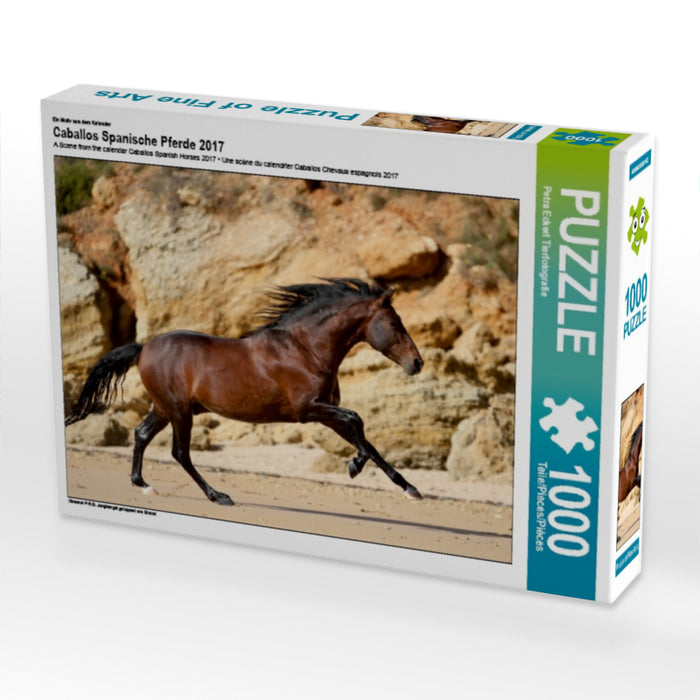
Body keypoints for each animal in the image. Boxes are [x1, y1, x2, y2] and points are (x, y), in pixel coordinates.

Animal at [65, 278, 425, 506]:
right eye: (395, 324)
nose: (417, 362)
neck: (305, 349)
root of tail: (143, 347)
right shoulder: (309, 409)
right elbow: (358, 421)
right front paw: (354, 466)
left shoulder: (325, 413)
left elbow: (367, 440)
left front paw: (410, 489)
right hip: (179, 411)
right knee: (180, 453)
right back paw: (218, 496)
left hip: (165, 409)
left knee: (141, 435)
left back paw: (144, 485)